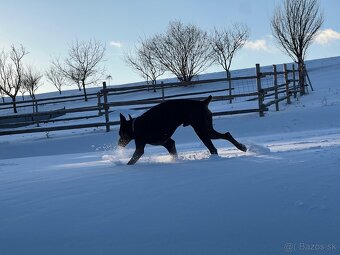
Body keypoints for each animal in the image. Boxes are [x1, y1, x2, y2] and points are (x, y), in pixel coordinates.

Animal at [119, 96, 247, 165]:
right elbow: (173, 152)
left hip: (201, 130)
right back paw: (241, 147)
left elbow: (133, 158)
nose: (118, 143)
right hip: (207, 129)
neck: (134, 126)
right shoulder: (168, 143)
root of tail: (202, 102)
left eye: (120, 133)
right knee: (226, 134)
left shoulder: (140, 146)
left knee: (214, 148)